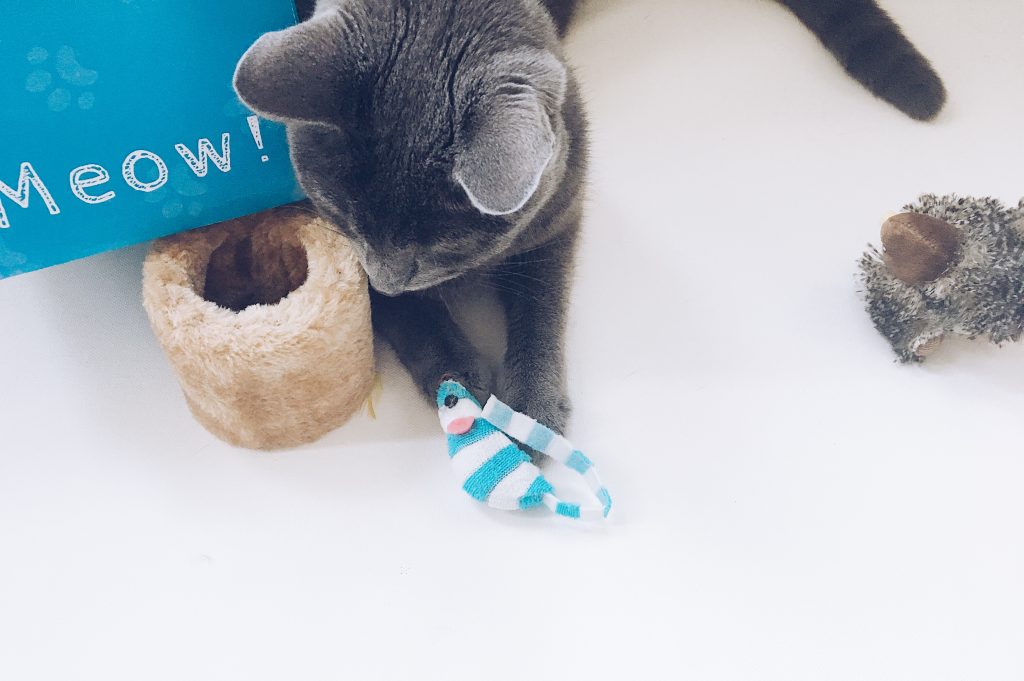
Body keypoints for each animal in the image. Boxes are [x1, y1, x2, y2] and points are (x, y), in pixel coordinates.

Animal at [232, 0, 942, 440]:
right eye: (340, 216)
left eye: (443, 244)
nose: (383, 275)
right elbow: (412, 318)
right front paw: (459, 378)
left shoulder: (558, 215)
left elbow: (543, 305)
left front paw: (532, 406)